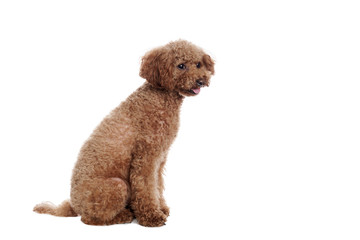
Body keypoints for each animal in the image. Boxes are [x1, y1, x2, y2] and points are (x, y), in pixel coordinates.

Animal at [33, 39, 214, 227]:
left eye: (198, 64)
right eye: (181, 66)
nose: (201, 80)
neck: (160, 98)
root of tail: (74, 205)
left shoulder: (160, 158)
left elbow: (157, 185)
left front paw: (161, 208)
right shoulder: (145, 158)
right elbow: (146, 187)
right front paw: (151, 216)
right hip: (117, 185)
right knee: (90, 219)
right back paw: (124, 215)